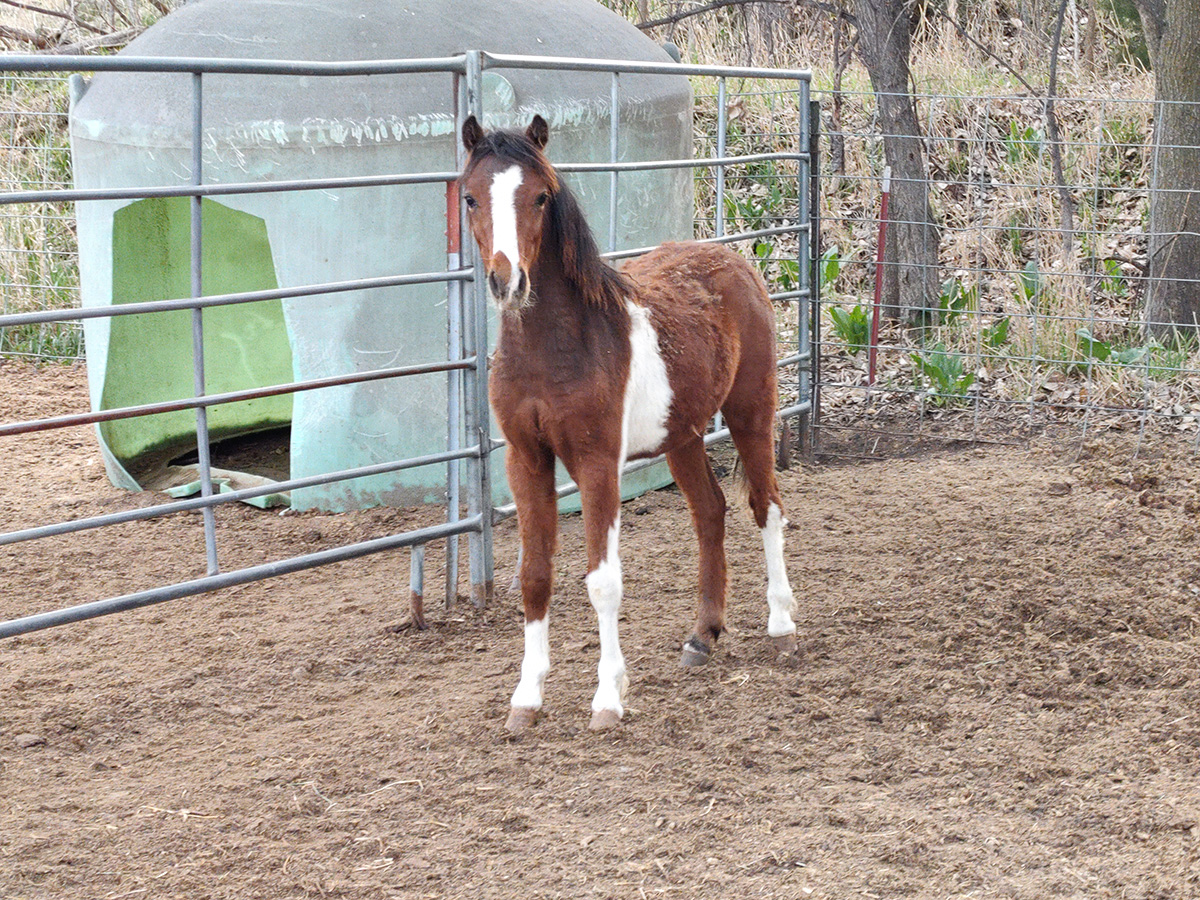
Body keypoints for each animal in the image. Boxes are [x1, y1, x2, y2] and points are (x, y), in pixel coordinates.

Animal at [460, 114, 798, 734]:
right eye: (470, 197)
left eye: (540, 197)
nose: (507, 282)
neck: (557, 350)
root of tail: (737, 263)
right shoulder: (526, 460)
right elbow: (535, 576)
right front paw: (526, 700)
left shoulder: (597, 465)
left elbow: (602, 581)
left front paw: (607, 699)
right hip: (682, 434)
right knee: (709, 511)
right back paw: (702, 636)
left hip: (752, 411)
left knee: (766, 507)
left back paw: (782, 628)